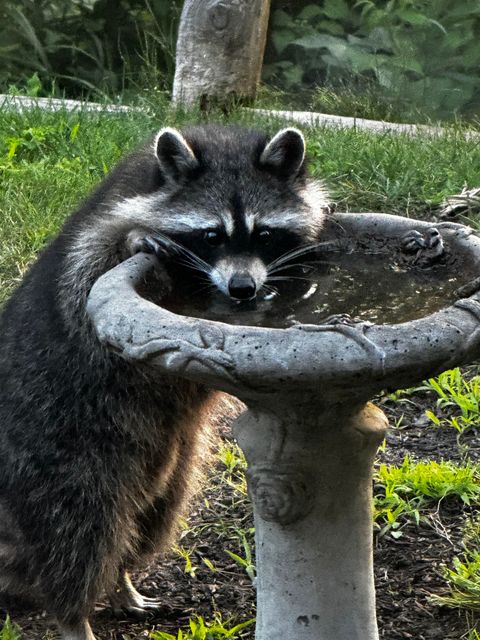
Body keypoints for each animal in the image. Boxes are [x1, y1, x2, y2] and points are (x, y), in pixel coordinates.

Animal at [0, 122, 328, 636]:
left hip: (171, 464)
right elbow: (89, 282)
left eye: (265, 234)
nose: (242, 289)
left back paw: (122, 581)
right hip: (59, 450)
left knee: (149, 519)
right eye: (212, 235)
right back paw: (74, 615)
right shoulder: (92, 247)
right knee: (79, 532)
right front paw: (135, 239)